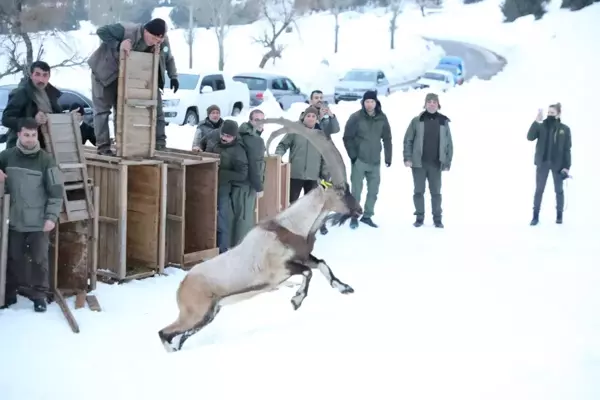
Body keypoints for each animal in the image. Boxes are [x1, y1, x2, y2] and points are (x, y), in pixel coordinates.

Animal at [158, 117, 360, 352]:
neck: (291, 226)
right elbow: (308, 272)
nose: (359, 210)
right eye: (340, 192)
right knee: (164, 333)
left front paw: (345, 288)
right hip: (195, 312)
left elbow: (322, 264)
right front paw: (296, 301)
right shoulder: (279, 270)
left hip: (209, 313)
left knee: (178, 334)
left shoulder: (303, 257)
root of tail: (182, 285)